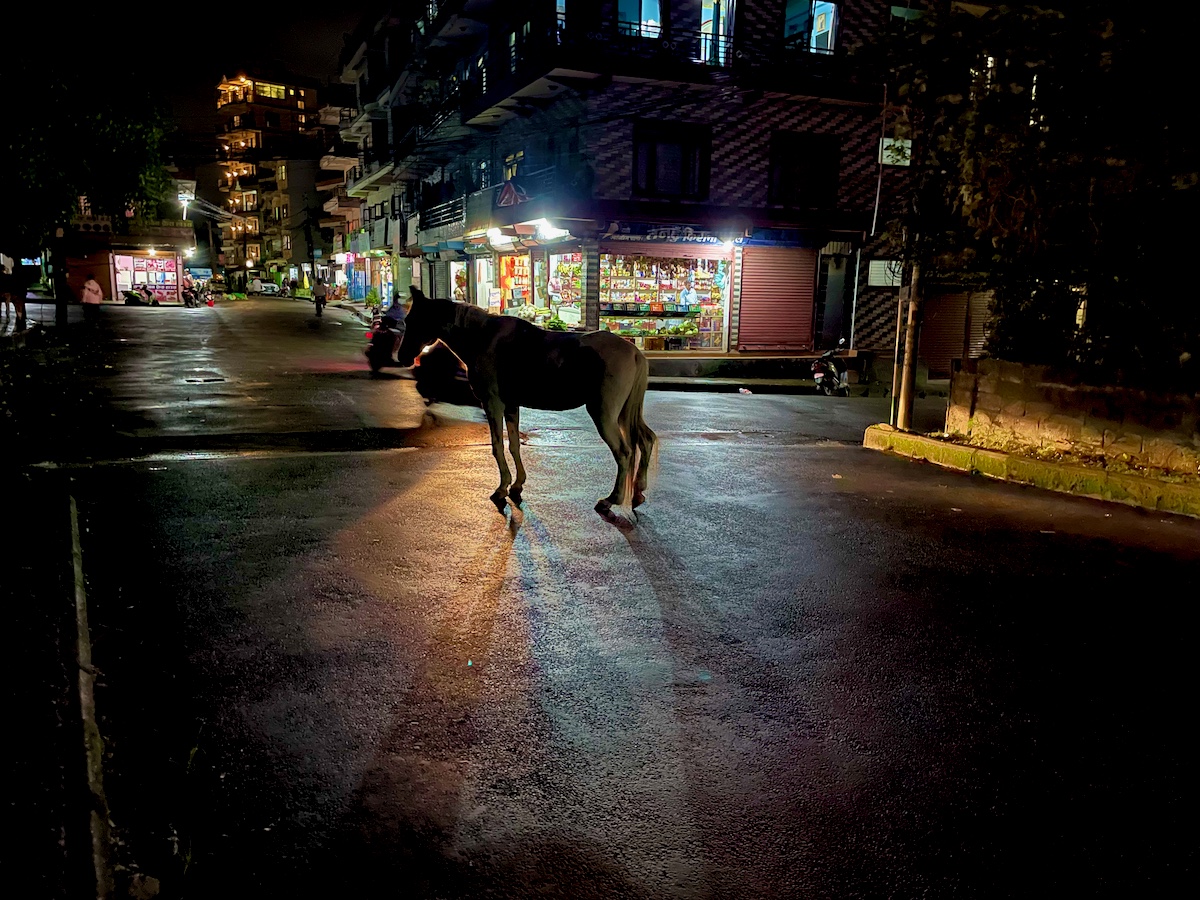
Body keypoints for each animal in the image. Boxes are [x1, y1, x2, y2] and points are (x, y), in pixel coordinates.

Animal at [393, 285, 657, 518]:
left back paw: (611, 500)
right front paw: (517, 485)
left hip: (604, 413)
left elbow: (497, 446)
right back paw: (638, 493)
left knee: (624, 452)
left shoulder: (493, 403)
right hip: (624, 413)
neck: (481, 337)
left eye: (414, 321)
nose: (402, 357)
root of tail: (634, 352)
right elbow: (514, 445)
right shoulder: (511, 405)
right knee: (646, 439)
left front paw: (502, 489)